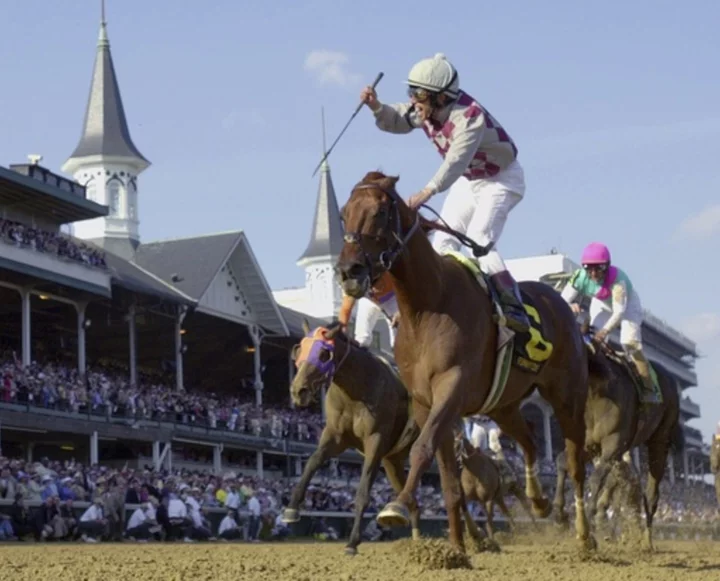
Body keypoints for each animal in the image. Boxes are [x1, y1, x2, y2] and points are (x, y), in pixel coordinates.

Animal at [282, 322, 484, 552]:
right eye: (299, 349)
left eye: (324, 353)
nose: (298, 391)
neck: (356, 391)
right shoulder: (335, 436)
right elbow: (312, 462)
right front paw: (291, 509)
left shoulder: (375, 440)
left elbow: (363, 489)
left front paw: (352, 542)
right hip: (392, 463)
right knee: (415, 503)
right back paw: (416, 538)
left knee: (458, 491)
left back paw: (476, 536)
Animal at [334, 170, 592, 552]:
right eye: (343, 214)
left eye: (379, 213)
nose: (348, 270)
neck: (427, 305)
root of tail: (559, 300)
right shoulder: (425, 401)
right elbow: (448, 482)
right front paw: (456, 549)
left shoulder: (452, 385)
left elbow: (421, 448)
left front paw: (397, 506)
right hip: (504, 405)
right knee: (530, 441)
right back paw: (538, 500)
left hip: (567, 396)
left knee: (574, 462)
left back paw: (584, 534)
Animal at [556, 322, 684, 548]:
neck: (597, 393)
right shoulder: (590, 444)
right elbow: (563, 461)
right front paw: (560, 514)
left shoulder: (613, 444)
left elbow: (596, 480)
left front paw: (590, 524)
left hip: (660, 438)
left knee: (651, 493)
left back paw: (647, 540)